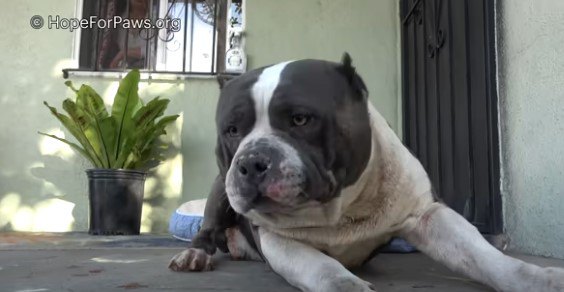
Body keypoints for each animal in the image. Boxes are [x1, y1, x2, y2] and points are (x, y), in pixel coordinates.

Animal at [170, 54, 564, 292]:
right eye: (232, 130)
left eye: (300, 119)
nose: (251, 161)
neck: (341, 208)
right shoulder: (279, 239)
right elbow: (321, 267)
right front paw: (346, 285)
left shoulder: (429, 216)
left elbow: (486, 258)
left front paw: (540, 278)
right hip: (220, 189)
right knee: (208, 226)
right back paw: (195, 254)